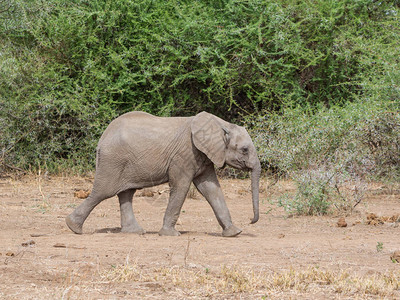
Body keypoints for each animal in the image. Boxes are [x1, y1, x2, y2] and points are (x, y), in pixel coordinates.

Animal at [66, 111, 260, 238]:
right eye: (244, 150)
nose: (251, 220)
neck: (222, 124)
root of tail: (102, 137)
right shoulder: (185, 154)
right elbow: (181, 187)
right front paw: (171, 234)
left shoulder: (204, 155)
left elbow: (211, 189)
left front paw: (234, 233)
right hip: (112, 160)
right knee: (103, 192)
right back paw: (74, 228)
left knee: (126, 193)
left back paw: (134, 232)